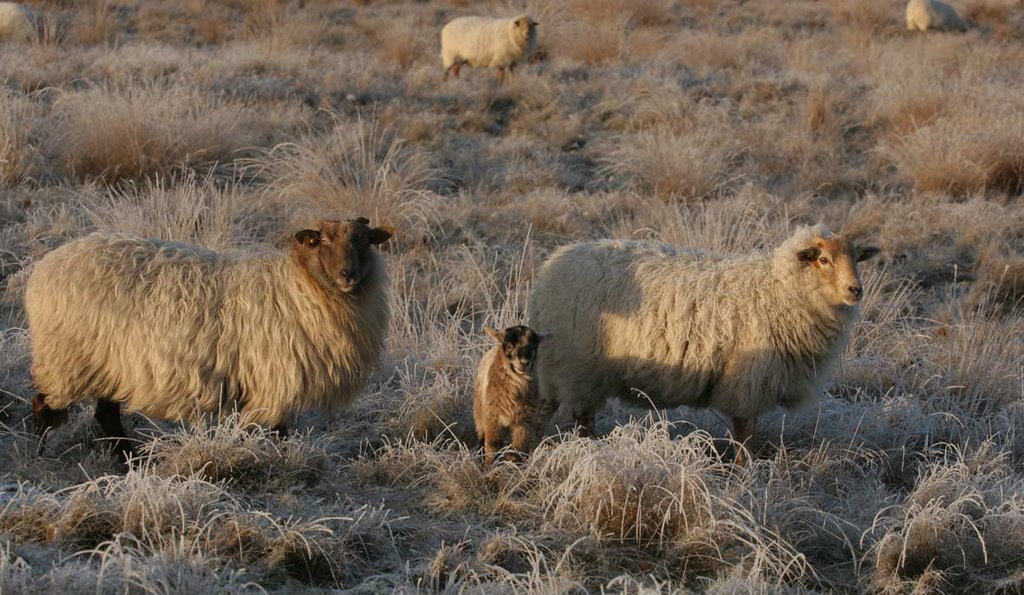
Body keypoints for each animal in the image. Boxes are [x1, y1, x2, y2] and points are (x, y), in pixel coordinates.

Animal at [27, 217, 395, 458]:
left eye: (364, 241)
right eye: (323, 242)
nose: (348, 274)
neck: (298, 288)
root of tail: (44, 269)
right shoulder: (272, 383)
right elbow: (275, 434)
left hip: (110, 364)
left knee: (106, 415)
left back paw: (128, 462)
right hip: (67, 358)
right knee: (44, 406)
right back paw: (40, 455)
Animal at [473, 325, 548, 464]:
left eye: (534, 345)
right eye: (508, 346)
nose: (524, 362)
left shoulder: (524, 422)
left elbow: (517, 450)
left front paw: (513, 466)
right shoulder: (492, 419)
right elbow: (493, 446)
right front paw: (490, 467)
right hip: (479, 412)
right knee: (482, 439)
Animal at [528, 223, 880, 464]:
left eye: (857, 258)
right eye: (823, 260)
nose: (856, 290)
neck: (778, 289)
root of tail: (549, 269)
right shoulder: (746, 380)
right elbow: (745, 433)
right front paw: (744, 471)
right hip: (577, 367)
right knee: (579, 419)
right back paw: (583, 449)